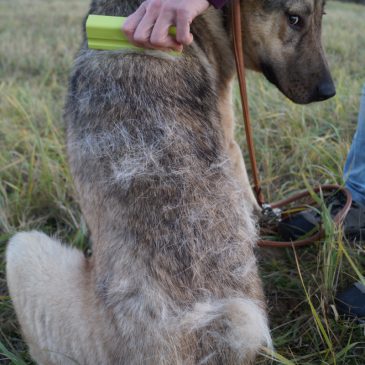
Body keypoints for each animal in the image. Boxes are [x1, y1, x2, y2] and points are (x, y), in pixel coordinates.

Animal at [7, 1, 332, 362]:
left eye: (319, 19)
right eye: (294, 19)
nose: (328, 92)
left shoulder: (231, 142)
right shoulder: (229, 142)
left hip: (22, 249)